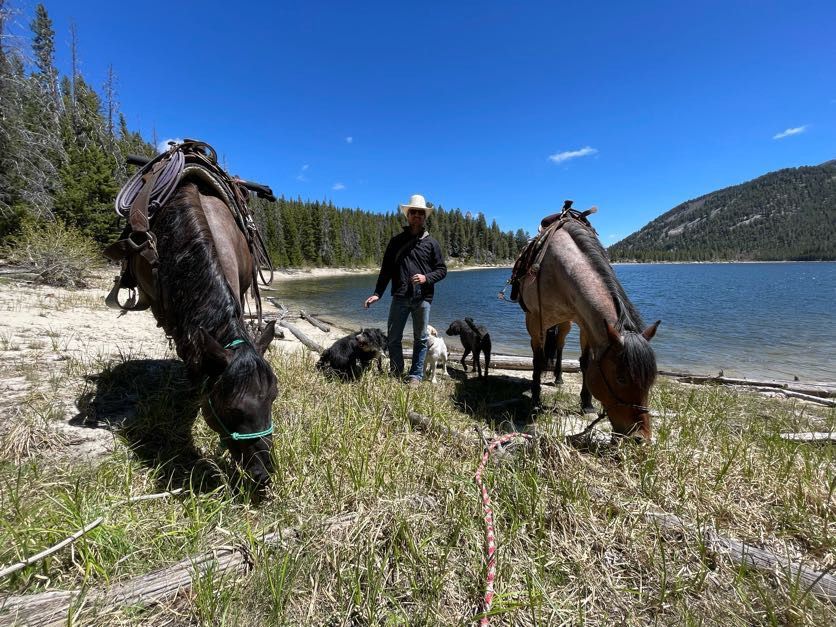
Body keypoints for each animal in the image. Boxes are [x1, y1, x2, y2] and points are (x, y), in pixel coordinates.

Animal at [519, 216, 660, 440]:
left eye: (651, 380)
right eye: (621, 378)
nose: (640, 437)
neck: (559, 269)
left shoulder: (584, 320)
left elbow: (586, 362)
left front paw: (586, 403)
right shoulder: (535, 320)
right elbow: (538, 360)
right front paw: (535, 400)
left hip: (566, 323)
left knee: (560, 345)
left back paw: (559, 378)